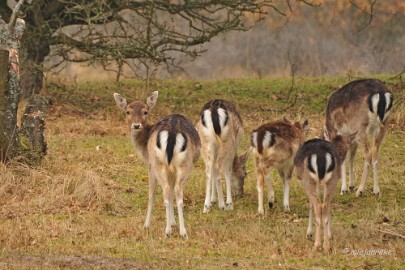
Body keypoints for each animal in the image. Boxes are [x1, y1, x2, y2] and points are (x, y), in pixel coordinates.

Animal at [113, 92, 200, 237]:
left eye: (145, 111)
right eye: (127, 111)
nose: (136, 125)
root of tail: (172, 132)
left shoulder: (149, 164)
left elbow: (151, 193)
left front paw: (146, 224)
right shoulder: (171, 169)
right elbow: (171, 192)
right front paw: (173, 222)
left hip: (158, 163)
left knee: (165, 190)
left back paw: (169, 231)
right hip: (182, 163)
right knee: (175, 191)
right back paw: (181, 231)